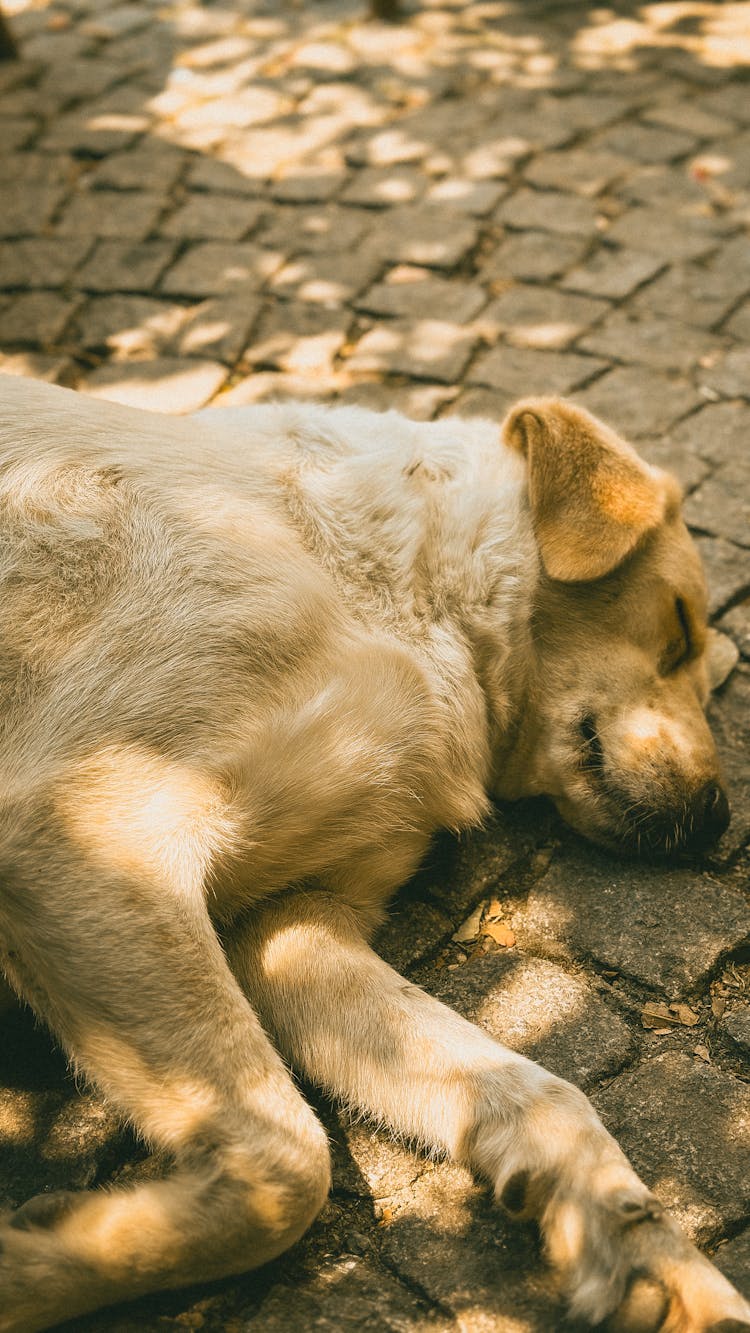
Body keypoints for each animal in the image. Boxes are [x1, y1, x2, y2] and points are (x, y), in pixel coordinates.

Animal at [0, 378, 746, 1333]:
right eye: (681, 627)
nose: (719, 819)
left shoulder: (286, 920)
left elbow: (538, 1092)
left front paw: (641, 1245)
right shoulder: (89, 832)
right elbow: (288, 1165)